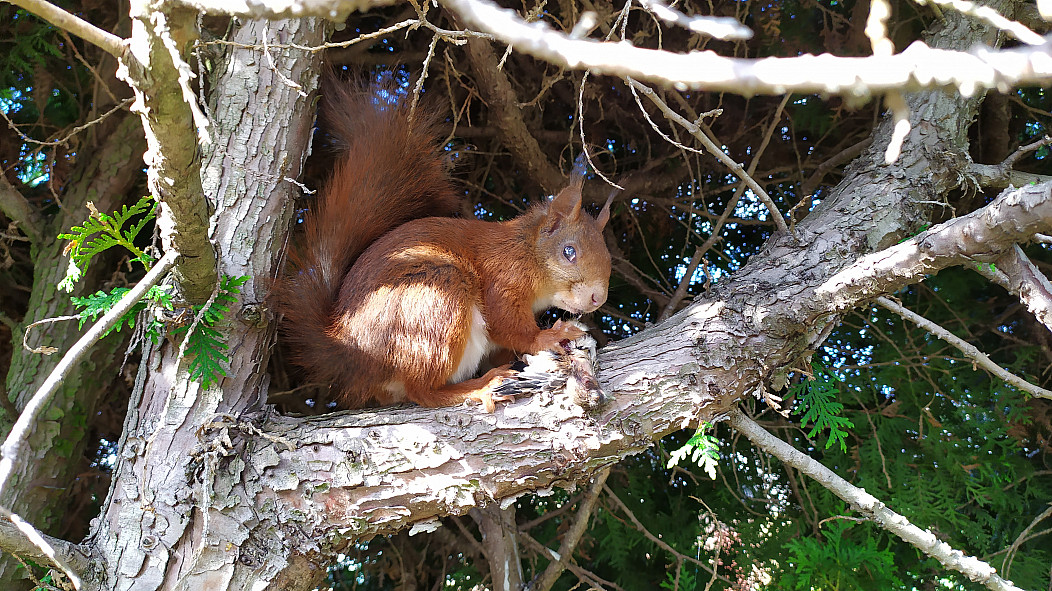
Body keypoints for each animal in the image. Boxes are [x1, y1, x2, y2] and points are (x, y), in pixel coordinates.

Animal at [273, 82, 612, 413]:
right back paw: (480, 387)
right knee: (424, 391)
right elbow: (509, 327)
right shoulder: (503, 276)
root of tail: (352, 354)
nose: (598, 298)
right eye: (569, 252)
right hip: (436, 300)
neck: (527, 251)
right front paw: (550, 335)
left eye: (608, 256)